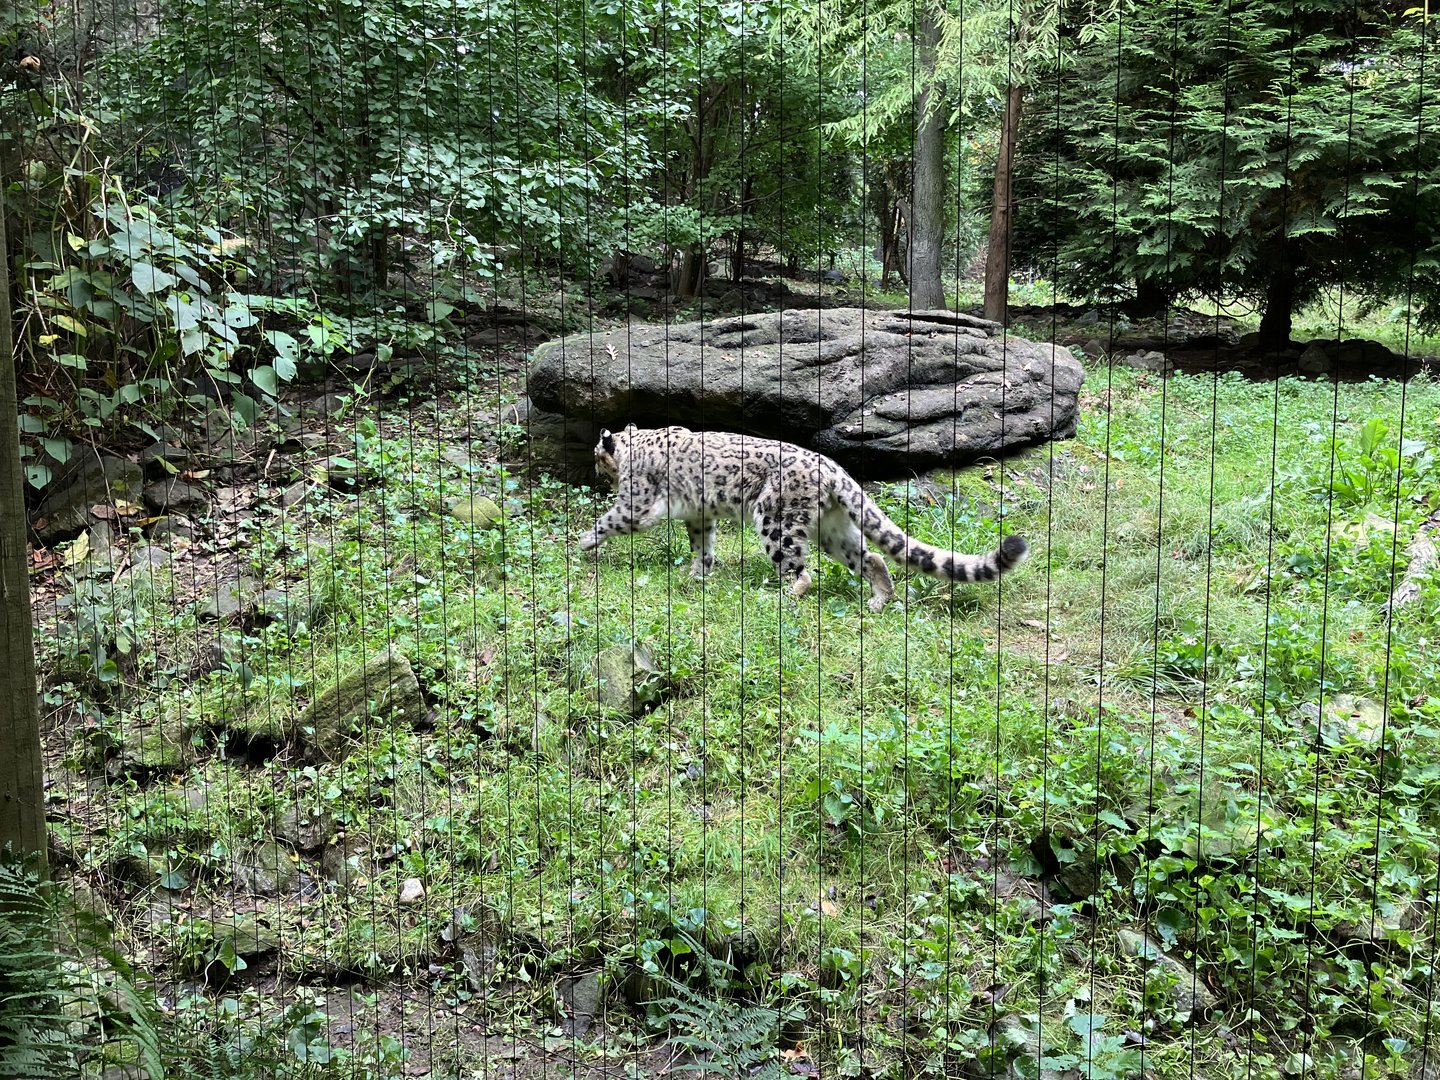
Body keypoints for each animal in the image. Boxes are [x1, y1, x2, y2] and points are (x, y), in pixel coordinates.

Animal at [579, 424, 1029, 612]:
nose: (595, 471)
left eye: (596, 454)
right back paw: (879, 600)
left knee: (801, 571)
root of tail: (833, 468)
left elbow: (609, 519)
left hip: (775, 521)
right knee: (871, 557)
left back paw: (777, 596)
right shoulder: (699, 516)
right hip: (832, 530)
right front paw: (696, 574)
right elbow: (702, 547)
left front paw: (582, 542)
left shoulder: (636, 505)